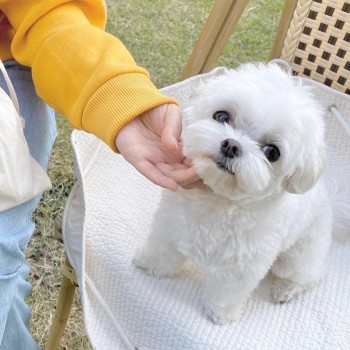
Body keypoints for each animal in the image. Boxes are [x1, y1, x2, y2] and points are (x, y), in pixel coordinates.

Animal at [133, 63, 334, 326]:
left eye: (272, 152)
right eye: (221, 116)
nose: (231, 145)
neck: (220, 202)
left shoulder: (241, 268)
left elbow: (225, 293)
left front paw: (219, 315)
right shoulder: (170, 228)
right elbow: (161, 252)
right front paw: (148, 265)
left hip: (300, 254)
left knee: (307, 276)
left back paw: (285, 289)